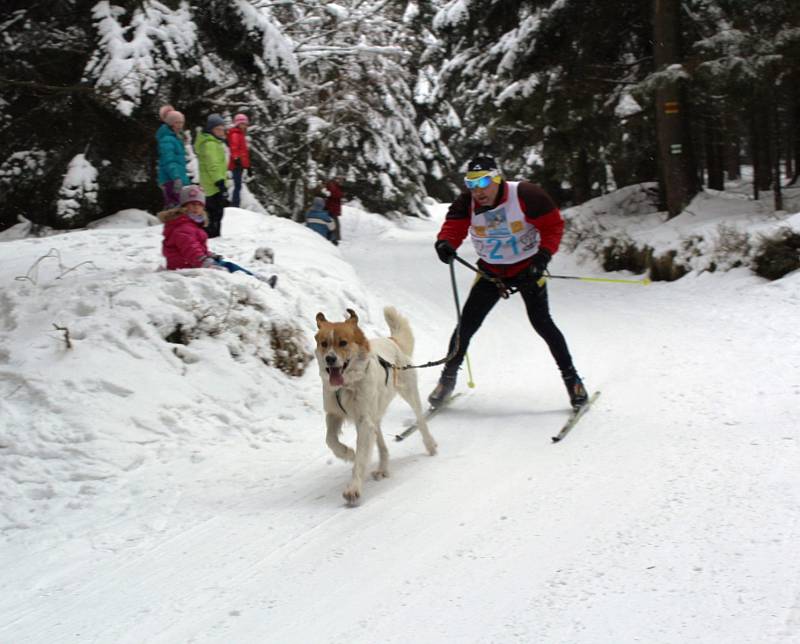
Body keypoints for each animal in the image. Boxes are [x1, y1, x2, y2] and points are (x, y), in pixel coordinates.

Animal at [314, 306, 438, 504]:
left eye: (343, 342)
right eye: (324, 343)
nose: (330, 359)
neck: (347, 386)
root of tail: (392, 340)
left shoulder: (364, 422)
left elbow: (360, 459)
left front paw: (353, 488)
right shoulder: (334, 414)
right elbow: (331, 440)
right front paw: (347, 453)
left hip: (409, 394)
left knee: (420, 420)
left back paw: (430, 445)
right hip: (376, 416)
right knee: (382, 447)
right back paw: (383, 469)